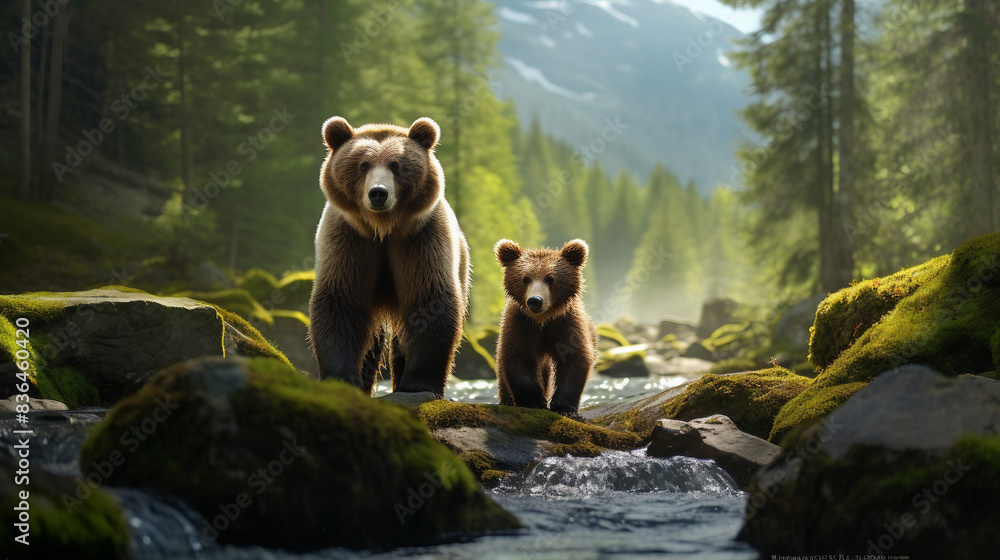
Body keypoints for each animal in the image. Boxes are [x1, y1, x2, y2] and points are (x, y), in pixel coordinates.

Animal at [308, 116, 471, 396]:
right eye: (363, 165)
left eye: (396, 164)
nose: (378, 193)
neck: (384, 229)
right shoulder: (349, 240)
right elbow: (340, 302)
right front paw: (341, 377)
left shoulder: (421, 240)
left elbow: (430, 301)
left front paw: (417, 385)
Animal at [493, 238, 599, 413]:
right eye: (525, 278)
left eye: (550, 278)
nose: (535, 300)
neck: (542, 320)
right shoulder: (520, 325)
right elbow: (516, 356)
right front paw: (534, 401)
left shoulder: (566, 324)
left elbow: (575, 358)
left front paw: (563, 406)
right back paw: (507, 401)